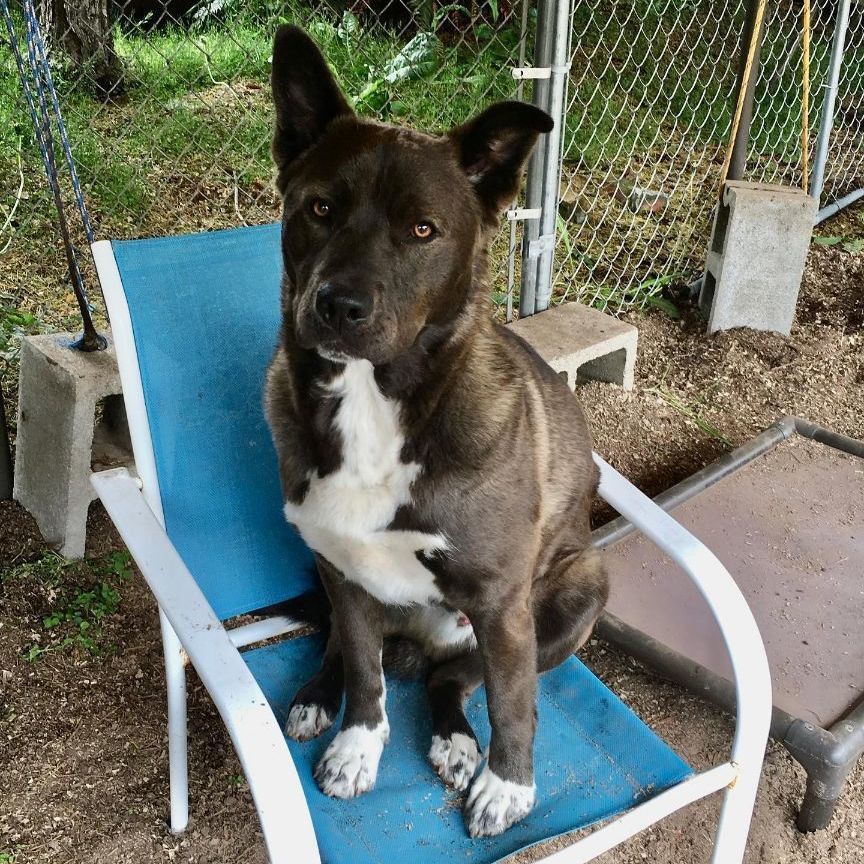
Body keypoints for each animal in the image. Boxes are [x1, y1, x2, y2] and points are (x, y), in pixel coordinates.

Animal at [264, 25, 608, 836]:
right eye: (319, 208)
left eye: (424, 230)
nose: (338, 306)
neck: (376, 404)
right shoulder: (344, 571)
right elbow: (364, 672)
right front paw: (357, 746)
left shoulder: (503, 605)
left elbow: (515, 705)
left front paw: (508, 785)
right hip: (331, 575)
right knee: (356, 651)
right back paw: (317, 697)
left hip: (578, 589)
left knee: (452, 681)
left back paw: (457, 743)